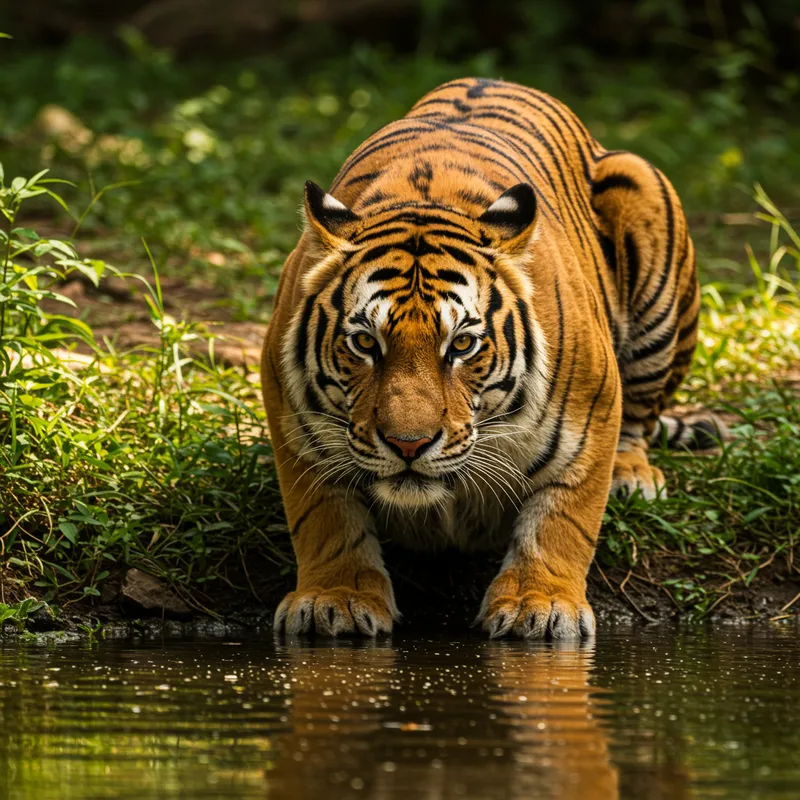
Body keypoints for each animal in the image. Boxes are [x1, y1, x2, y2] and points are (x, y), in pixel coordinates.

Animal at [260, 77, 715, 640]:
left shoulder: (594, 411)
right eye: (365, 343)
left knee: (640, 419)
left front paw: (539, 605)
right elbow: (324, 518)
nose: (408, 445)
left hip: (646, 217)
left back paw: (632, 475)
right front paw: (336, 599)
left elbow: (563, 518)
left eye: (461, 345)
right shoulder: (292, 417)